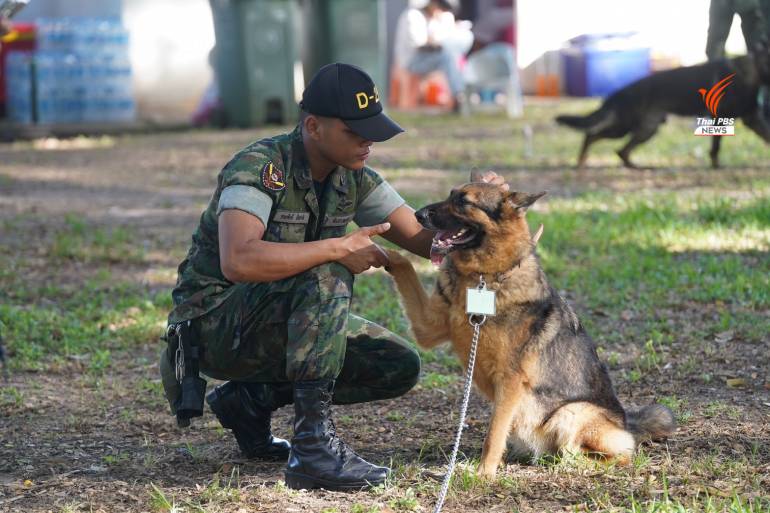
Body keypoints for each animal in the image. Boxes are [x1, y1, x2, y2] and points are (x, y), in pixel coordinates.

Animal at [384, 176, 672, 476]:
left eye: (463, 201)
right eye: (450, 194)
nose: (418, 216)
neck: (483, 278)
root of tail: (626, 422)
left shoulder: (509, 379)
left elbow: (493, 433)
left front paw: (484, 473)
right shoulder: (426, 328)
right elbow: (404, 267)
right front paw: (378, 249)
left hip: (571, 413)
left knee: (609, 455)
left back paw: (566, 461)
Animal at [556, 42, 768, 168]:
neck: (755, 68)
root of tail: (619, 92)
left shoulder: (753, 120)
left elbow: (767, 136)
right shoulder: (720, 120)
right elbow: (716, 148)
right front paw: (716, 166)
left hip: (646, 129)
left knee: (620, 151)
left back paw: (635, 166)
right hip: (624, 127)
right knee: (591, 135)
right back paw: (582, 161)